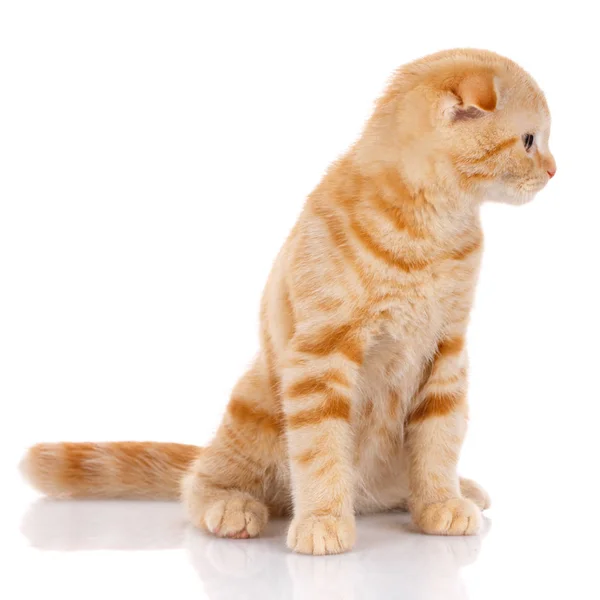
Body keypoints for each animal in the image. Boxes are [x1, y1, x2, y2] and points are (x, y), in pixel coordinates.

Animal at [23, 49, 556, 556]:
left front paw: (441, 501)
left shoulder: (447, 351)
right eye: (530, 141)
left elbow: (440, 438)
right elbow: (320, 449)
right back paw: (232, 507)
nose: (554, 170)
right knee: (198, 481)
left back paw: (453, 490)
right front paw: (322, 520)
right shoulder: (323, 354)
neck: (429, 229)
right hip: (254, 403)